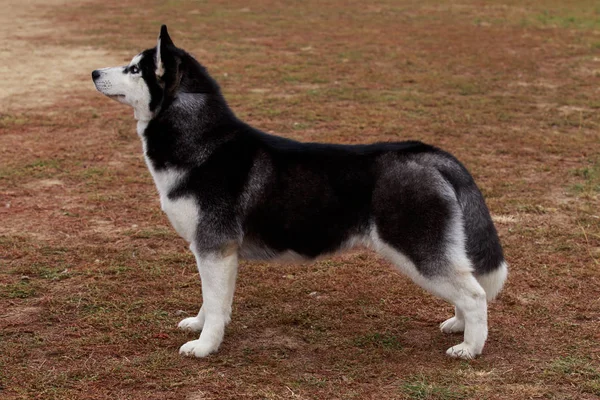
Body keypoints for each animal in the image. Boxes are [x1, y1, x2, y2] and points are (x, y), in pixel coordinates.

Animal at [92, 26, 506, 360]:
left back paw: (470, 348)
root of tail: (428, 154)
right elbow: (213, 302)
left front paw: (205, 346)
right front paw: (200, 324)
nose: (94, 72)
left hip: (417, 250)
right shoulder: (215, 252)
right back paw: (459, 325)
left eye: (134, 69)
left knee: (475, 294)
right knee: (466, 283)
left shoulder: (214, 247)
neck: (204, 143)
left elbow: (214, 301)